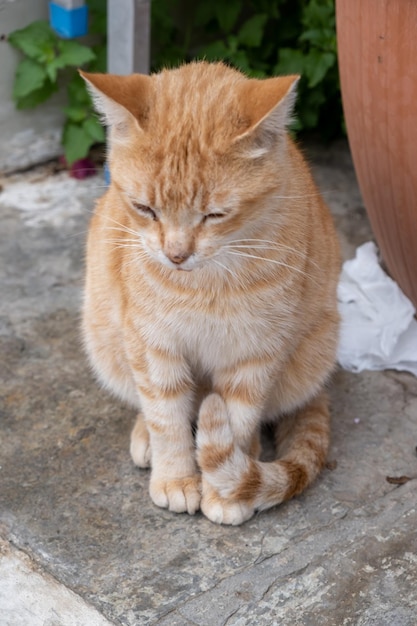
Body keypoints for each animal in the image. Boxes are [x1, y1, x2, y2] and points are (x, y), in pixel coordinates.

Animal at [80, 62, 338, 520]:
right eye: (145, 209)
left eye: (215, 215)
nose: (175, 254)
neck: (204, 283)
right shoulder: (153, 345)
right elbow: (166, 417)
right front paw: (177, 479)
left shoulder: (254, 354)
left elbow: (237, 421)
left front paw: (227, 491)